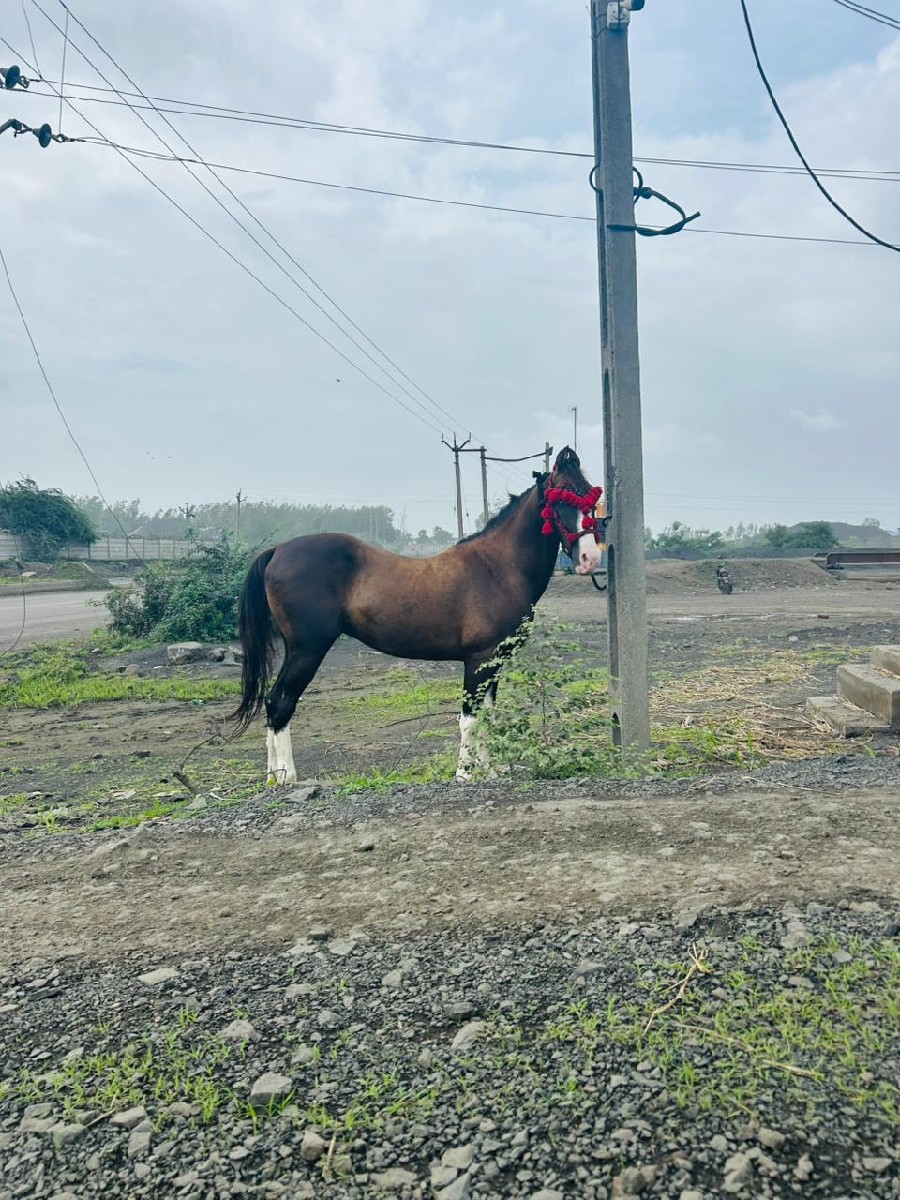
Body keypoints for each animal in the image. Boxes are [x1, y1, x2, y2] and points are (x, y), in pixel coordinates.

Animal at [233, 447, 604, 783]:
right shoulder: (479, 659)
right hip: (307, 650)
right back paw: (286, 777)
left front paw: (488, 770)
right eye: (560, 500)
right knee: (281, 701)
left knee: (272, 702)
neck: (496, 567)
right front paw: (465, 774)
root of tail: (278, 550)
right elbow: (470, 717)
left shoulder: (494, 662)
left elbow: (486, 714)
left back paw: (273, 777)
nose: (590, 558)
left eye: (589, 500)